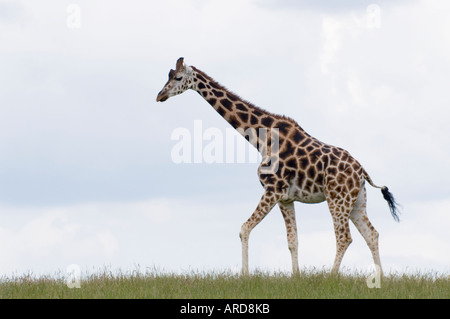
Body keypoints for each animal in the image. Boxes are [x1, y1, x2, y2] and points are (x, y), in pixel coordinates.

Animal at [156, 58, 400, 278]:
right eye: (168, 75)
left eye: (178, 78)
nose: (160, 96)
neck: (261, 138)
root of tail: (362, 172)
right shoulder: (285, 198)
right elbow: (293, 241)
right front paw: (296, 277)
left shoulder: (272, 189)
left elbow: (244, 228)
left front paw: (244, 276)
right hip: (357, 201)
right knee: (372, 234)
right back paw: (380, 279)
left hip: (337, 199)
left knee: (344, 237)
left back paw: (331, 277)